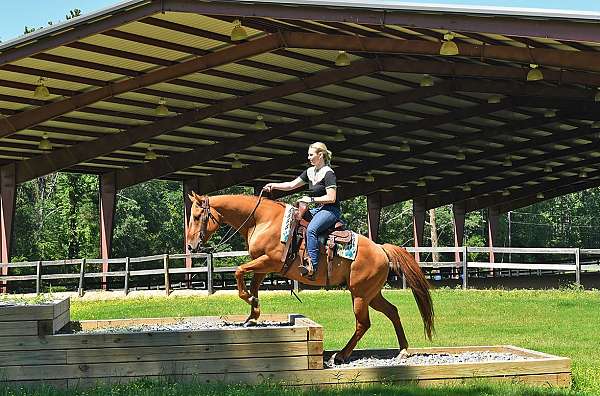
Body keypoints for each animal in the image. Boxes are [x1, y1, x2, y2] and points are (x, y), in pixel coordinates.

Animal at [185, 193, 434, 366]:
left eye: (197, 217)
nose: (190, 246)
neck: (262, 220)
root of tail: (380, 249)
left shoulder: (269, 261)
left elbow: (239, 271)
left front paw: (249, 303)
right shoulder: (263, 265)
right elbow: (252, 284)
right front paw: (252, 315)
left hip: (360, 295)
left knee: (363, 323)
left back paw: (340, 356)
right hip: (372, 294)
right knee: (392, 311)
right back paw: (403, 350)